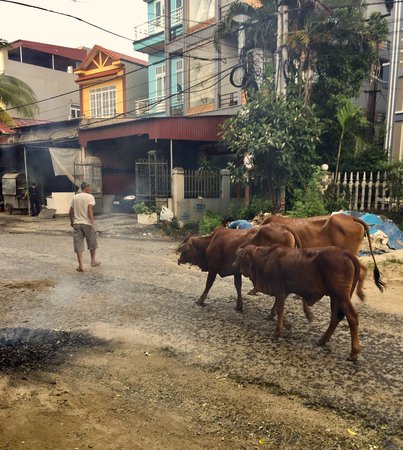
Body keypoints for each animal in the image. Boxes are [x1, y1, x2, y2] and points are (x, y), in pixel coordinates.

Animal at [178, 223, 310, 314]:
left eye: (185, 249)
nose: (179, 260)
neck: (210, 242)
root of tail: (284, 227)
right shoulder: (236, 271)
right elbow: (238, 286)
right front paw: (239, 305)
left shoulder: (213, 267)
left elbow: (208, 284)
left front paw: (201, 300)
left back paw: (272, 313)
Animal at [235, 244, 386, 360]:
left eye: (240, 256)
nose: (233, 263)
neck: (266, 259)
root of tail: (346, 253)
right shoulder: (283, 292)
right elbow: (279, 309)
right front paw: (287, 325)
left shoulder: (279, 290)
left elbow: (279, 309)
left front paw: (277, 332)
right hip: (335, 297)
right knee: (335, 317)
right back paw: (322, 340)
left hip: (341, 296)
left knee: (352, 318)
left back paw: (354, 352)